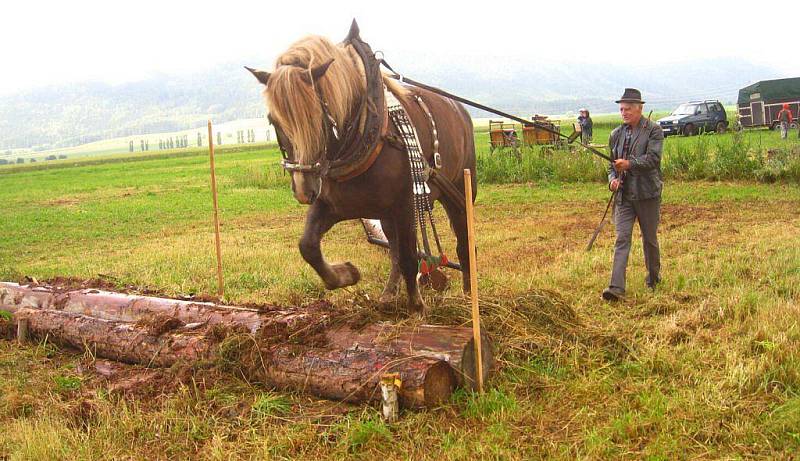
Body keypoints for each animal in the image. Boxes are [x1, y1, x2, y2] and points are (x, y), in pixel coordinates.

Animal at [247, 22, 476, 316]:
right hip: (387, 213)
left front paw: (416, 308)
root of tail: (459, 109)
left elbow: (410, 257)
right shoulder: (334, 204)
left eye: (317, 117)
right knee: (394, 250)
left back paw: (469, 295)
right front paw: (347, 274)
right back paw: (389, 293)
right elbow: (308, 246)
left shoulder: (405, 205)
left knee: (462, 242)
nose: (302, 190)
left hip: (459, 191)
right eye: (273, 120)